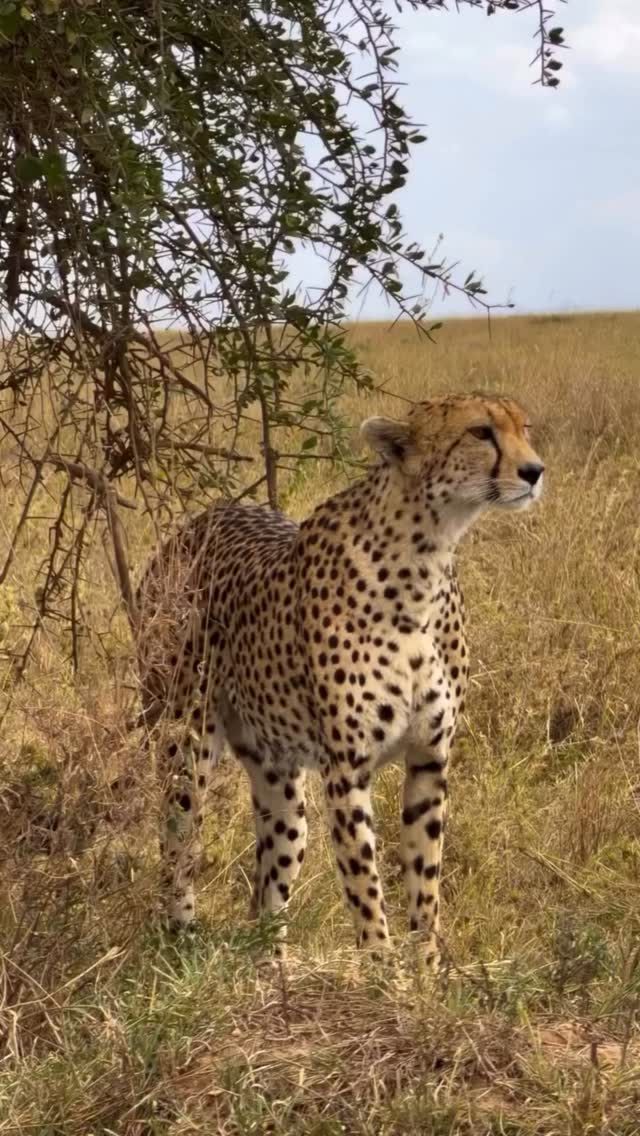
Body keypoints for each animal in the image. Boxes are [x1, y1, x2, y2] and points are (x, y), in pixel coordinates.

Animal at [135, 392, 544, 966]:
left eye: (523, 428)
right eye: (480, 432)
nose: (534, 470)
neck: (426, 557)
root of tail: (195, 523)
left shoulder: (430, 758)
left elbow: (425, 877)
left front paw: (427, 967)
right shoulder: (347, 769)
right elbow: (364, 884)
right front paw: (383, 970)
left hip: (282, 787)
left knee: (266, 894)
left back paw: (274, 970)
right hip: (185, 749)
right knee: (176, 845)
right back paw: (180, 940)